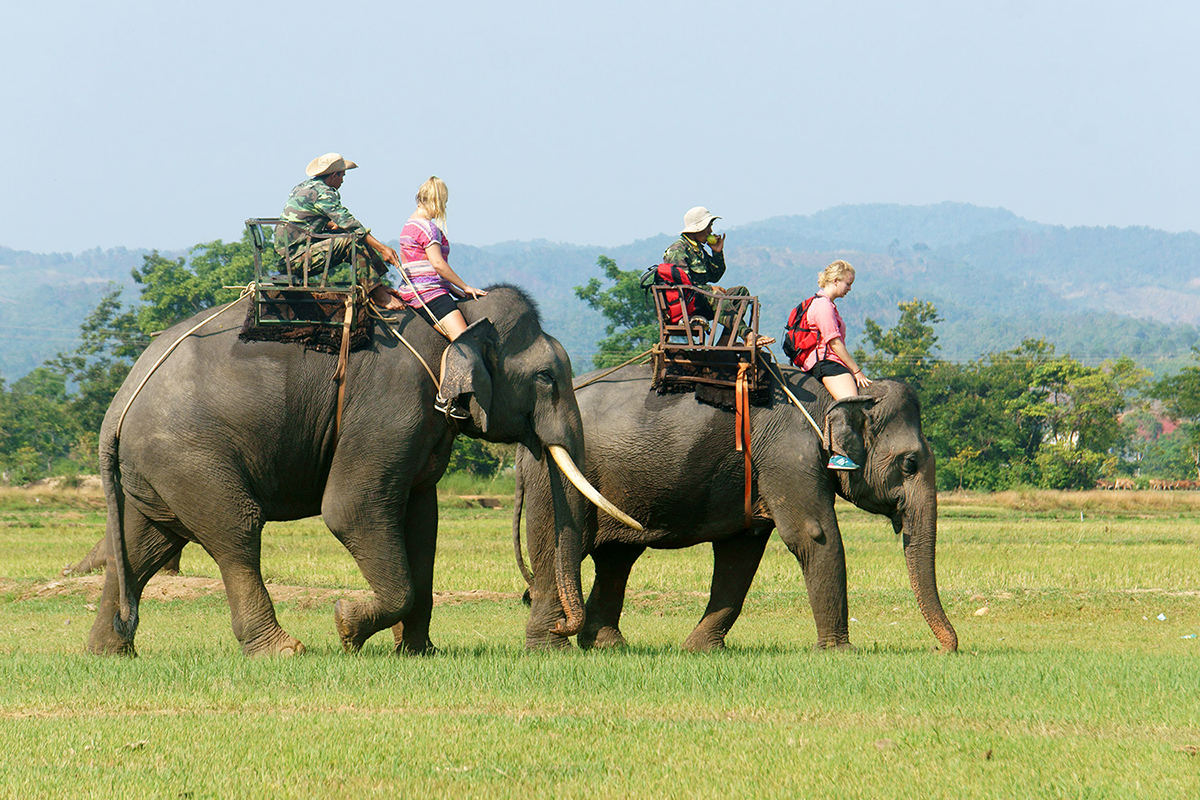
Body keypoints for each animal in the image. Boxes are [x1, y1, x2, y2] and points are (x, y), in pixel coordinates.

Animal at [87, 286, 638, 657]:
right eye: (546, 377)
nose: (560, 631)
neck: (452, 323)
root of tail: (119, 403)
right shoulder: (391, 405)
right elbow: (351, 510)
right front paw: (346, 625)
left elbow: (422, 521)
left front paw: (418, 652)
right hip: (190, 452)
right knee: (235, 532)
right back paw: (284, 650)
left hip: (158, 468)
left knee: (144, 543)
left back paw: (111, 651)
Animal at [513, 362, 955, 652]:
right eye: (910, 463)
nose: (945, 648)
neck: (832, 397)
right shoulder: (788, 454)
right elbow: (813, 534)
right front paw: (840, 653)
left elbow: (740, 554)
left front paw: (700, 650)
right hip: (553, 477)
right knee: (557, 549)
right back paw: (551, 646)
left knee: (617, 557)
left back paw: (609, 646)